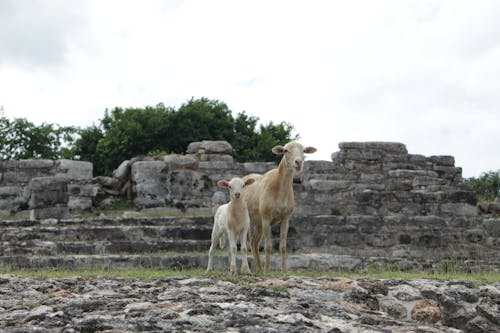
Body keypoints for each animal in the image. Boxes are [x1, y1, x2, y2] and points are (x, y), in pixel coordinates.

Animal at [242, 140, 316, 272]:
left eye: (304, 150)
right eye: (285, 150)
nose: (298, 162)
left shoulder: (286, 218)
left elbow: (283, 247)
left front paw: (284, 271)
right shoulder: (266, 217)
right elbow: (268, 246)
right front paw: (267, 271)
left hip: (258, 222)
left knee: (254, 241)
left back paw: (259, 269)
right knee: (244, 242)